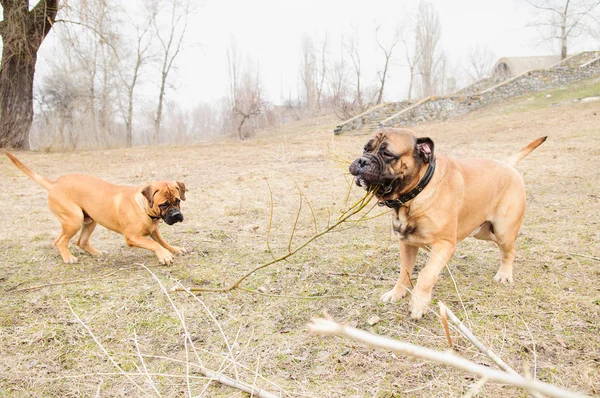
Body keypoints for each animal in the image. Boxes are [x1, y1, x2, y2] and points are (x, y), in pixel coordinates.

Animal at [4, 152, 186, 264]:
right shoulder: (132, 237)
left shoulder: (154, 231)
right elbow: (154, 244)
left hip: (90, 220)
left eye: (177, 200)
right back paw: (68, 258)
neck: (144, 208)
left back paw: (97, 253)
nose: (177, 215)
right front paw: (164, 255)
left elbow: (162, 241)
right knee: (60, 241)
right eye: (163, 204)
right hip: (74, 219)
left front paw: (174, 249)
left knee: (81, 241)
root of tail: (54, 184)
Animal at [346, 130, 548, 320]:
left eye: (387, 154)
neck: (415, 194)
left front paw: (419, 303)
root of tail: (507, 164)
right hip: (482, 231)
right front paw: (396, 293)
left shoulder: (444, 245)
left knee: (510, 250)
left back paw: (504, 274)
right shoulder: (407, 243)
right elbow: (405, 272)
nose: (362, 160)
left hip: (503, 230)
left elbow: (426, 274)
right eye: (365, 149)